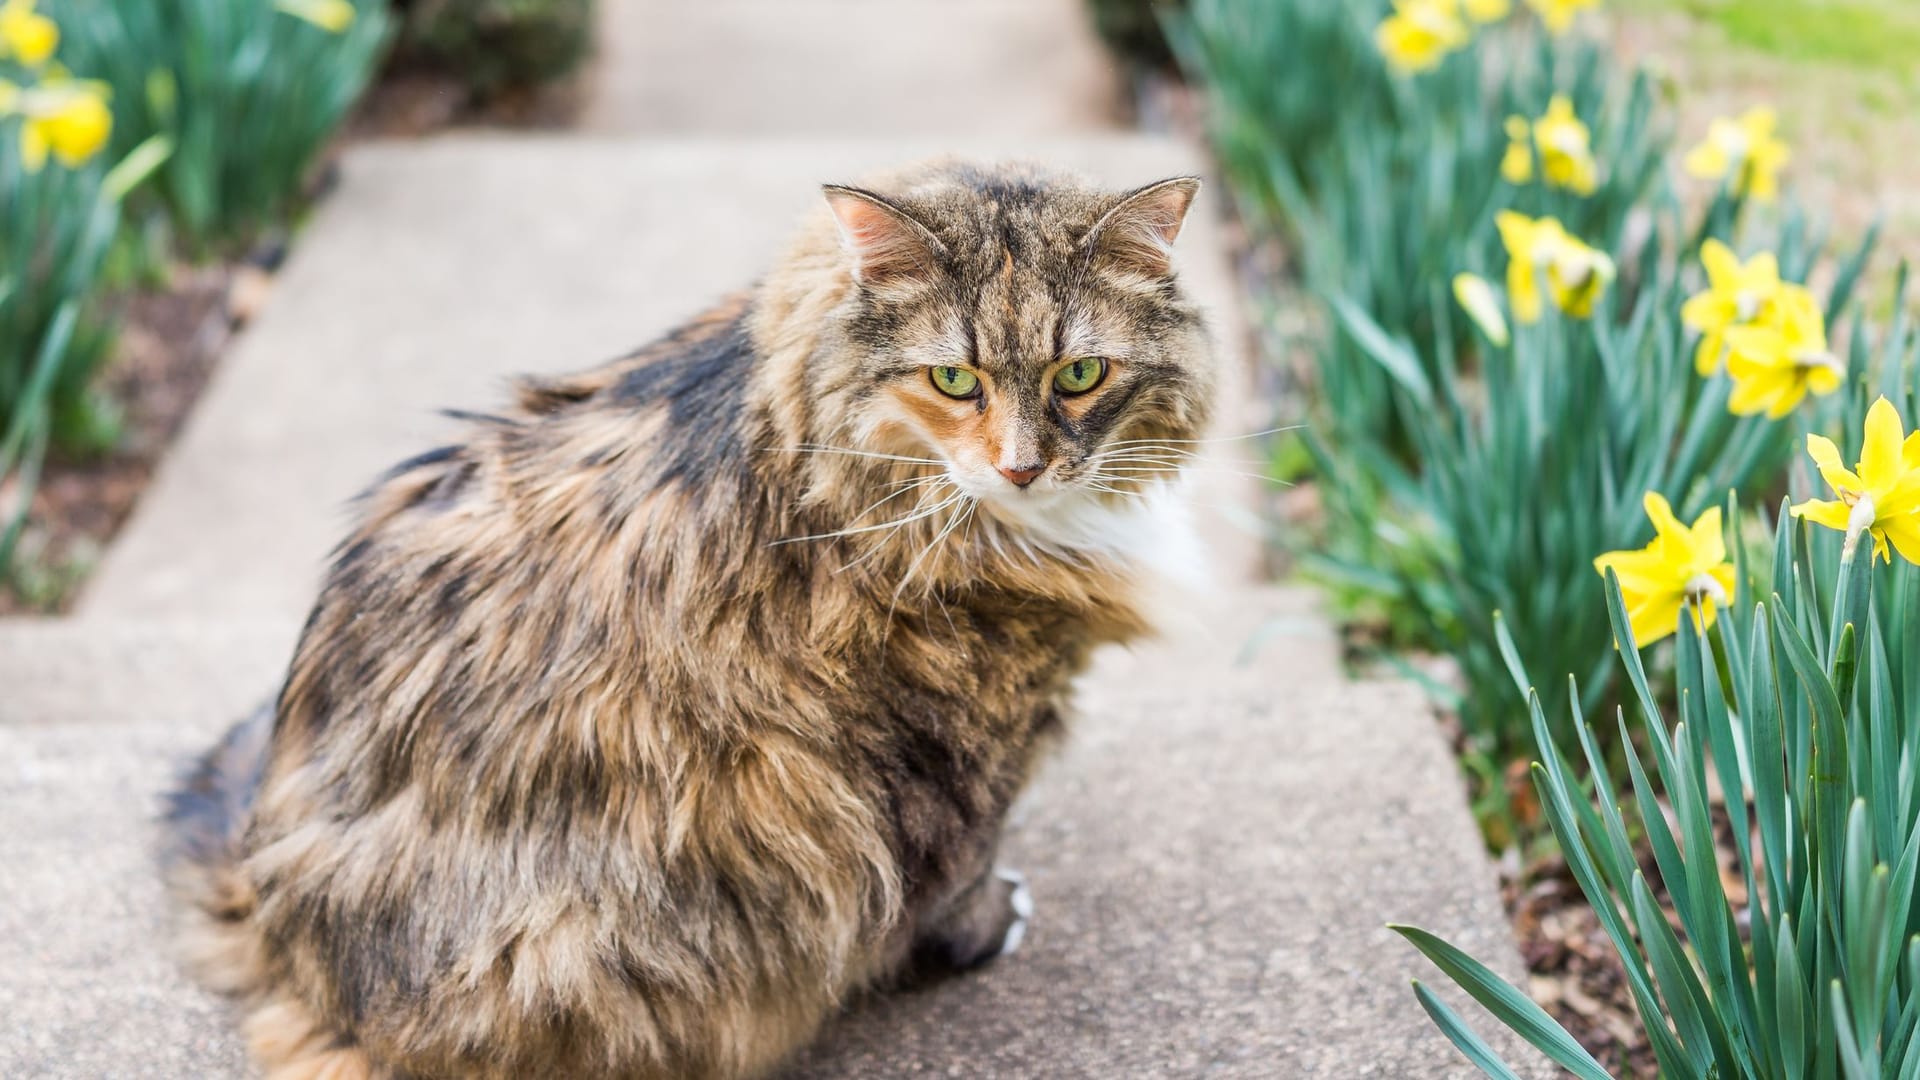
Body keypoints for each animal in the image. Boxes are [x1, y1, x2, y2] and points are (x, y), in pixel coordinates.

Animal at [165, 159, 1213, 1076]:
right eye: (954, 381)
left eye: (1081, 375)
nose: (1023, 468)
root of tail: (269, 900)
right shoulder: (958, 741)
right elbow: (958, 875)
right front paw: (990, 926)